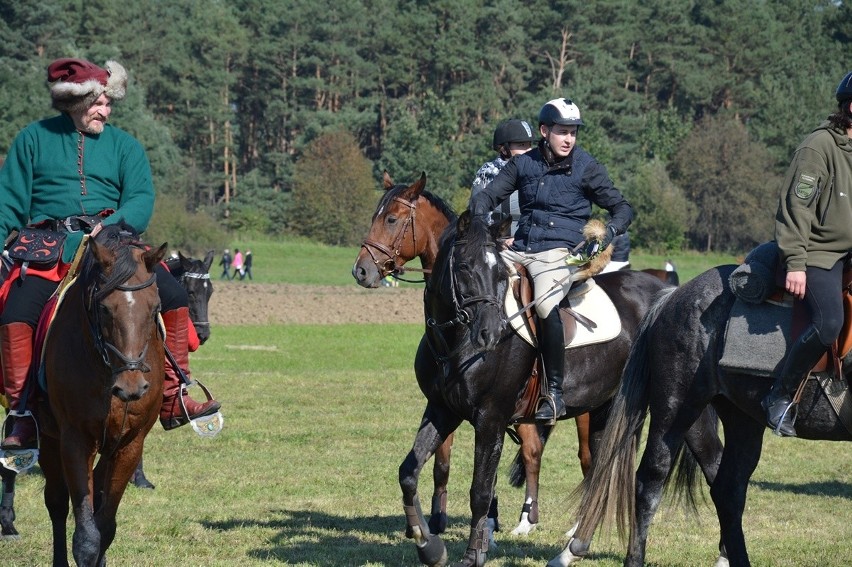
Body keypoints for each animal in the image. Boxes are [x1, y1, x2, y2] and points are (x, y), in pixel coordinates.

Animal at [37, 227, 167, 567]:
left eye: (155, 308)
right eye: (105, 308)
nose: (132, 386)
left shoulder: (129, 444)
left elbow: (105, 526)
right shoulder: (75, 441)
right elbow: (86, 537)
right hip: (48, 437)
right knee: (56, 502)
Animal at [352, 172, 592, 536]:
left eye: (391, 219)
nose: (362, 270)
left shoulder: (490, 412)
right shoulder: (445, 407)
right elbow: (441, 463)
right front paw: (433, 519)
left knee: (587, 459)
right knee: (533, 452)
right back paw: (526, 519)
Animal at [400, 213, 720, 567]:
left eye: (500, 274)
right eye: (465, 267)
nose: (491, 333)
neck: (453, 344)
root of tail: (671, 295)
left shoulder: (491, 419)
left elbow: (480, 491)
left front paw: (473, 555)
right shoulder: (442, 410)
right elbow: (408, 473)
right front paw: (428, 546)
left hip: (681, 410)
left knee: (714, 464)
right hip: (607, 410)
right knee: (602, 474)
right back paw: (570, 551)